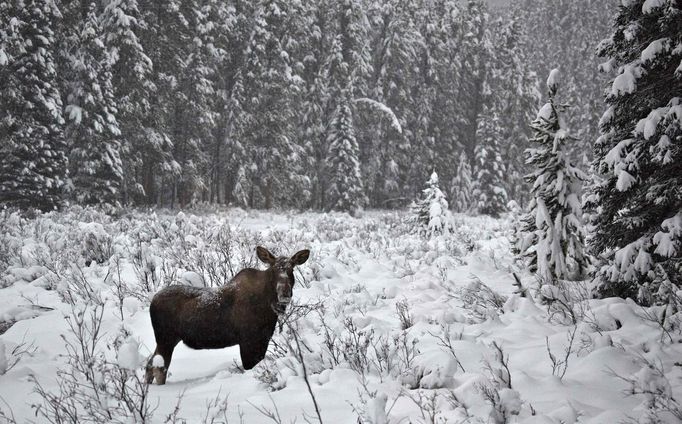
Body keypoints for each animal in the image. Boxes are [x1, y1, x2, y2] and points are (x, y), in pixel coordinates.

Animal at [147, 245, 312, 384]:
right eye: (274, 270)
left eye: (292, 269)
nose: (285, 294)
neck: (268, 305)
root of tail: (152, 302)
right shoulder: (248, 340)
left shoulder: (262, 338)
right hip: (166, 339)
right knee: (159, 368)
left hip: (167, 340)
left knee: (149, 365)